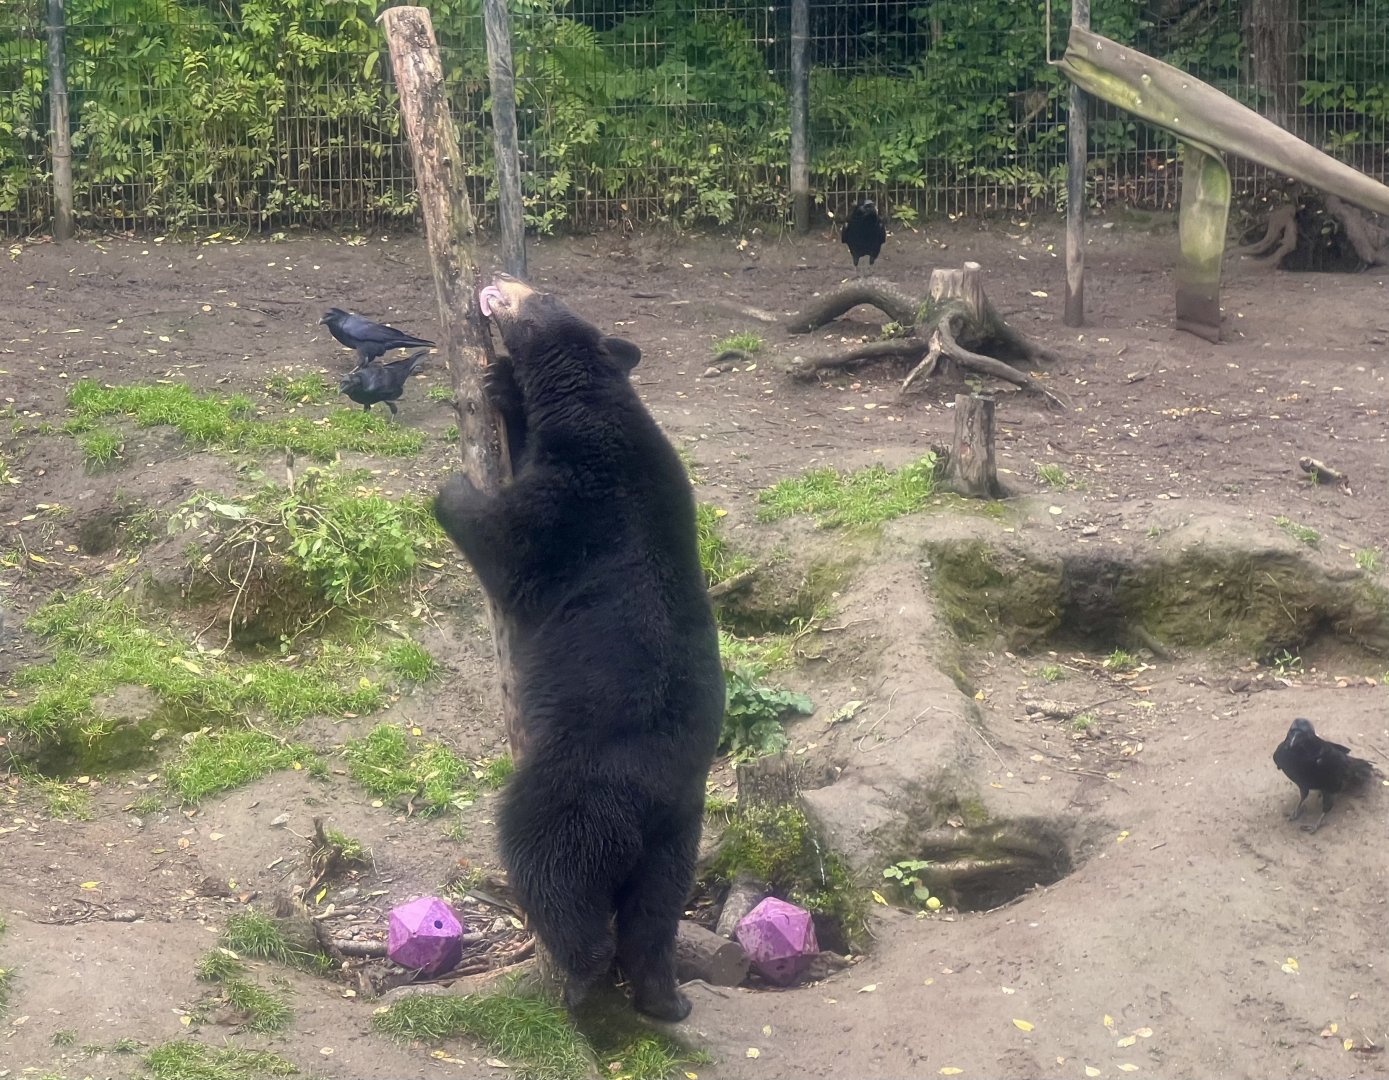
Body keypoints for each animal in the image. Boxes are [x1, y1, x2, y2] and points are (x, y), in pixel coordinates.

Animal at [433, 275, 725, 1022]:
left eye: (529, 293)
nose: (495, 280)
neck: (592, 401)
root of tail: (651, 804)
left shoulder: (580, 501)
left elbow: (512, 547)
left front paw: (454, 488)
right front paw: (501, 386)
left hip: (575, 794)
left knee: (551, 868)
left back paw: (579, 980)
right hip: (678, 840)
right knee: (654, 917)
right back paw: (663, 998)